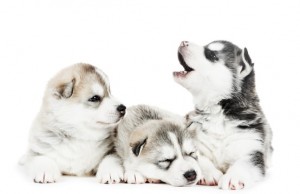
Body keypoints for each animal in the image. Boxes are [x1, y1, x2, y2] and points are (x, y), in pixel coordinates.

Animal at [172, 40, 274, 189]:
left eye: (212, 55)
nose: (183, 42)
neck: (217, 112)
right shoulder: (195, 141)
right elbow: (199, 158)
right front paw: (209, 173)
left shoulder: (252, 147)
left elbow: (245, 162)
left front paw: (234, 176)